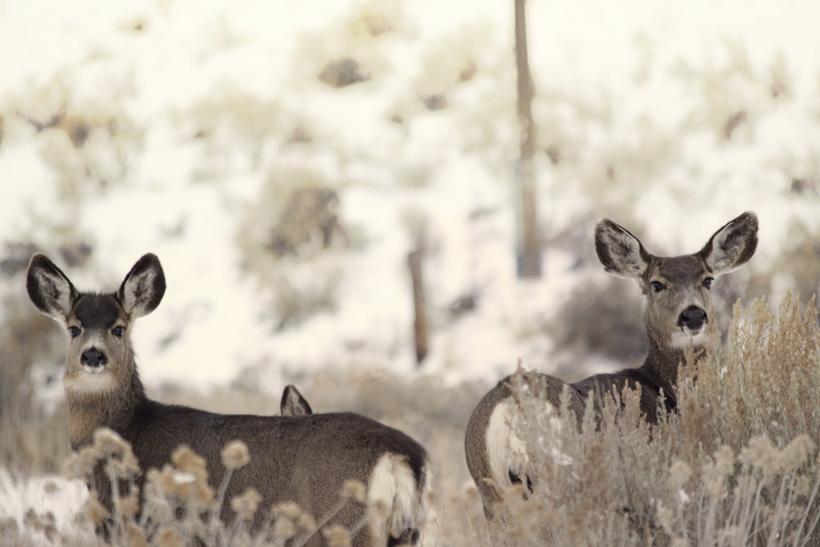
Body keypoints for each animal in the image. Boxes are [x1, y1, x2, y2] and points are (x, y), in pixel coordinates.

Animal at [26, 253, 430, 546]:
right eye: (74, 328)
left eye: (118, 328)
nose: (93, 356)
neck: (128, 433)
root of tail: (402, 455)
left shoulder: (148, 526)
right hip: (403, 532)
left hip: (344, 526)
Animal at [464, 211, 758, 520]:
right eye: (656, 284)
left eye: (708, 280)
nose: (692, 315)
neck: (664, 387)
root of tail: (512, 404)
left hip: (492, 494)